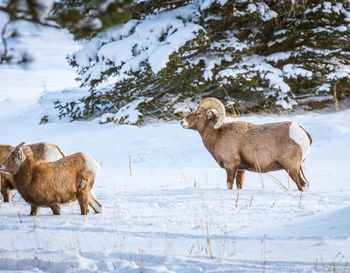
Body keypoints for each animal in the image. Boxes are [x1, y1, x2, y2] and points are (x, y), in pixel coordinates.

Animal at [180, 96, 312, 190]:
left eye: (198, 114)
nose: (182, 122)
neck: (218, 135)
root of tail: (303, 133)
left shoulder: (231, 167)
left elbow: (229, 185)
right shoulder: (241, 170)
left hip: (291, 167)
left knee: (302, 185)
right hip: (300, 167)